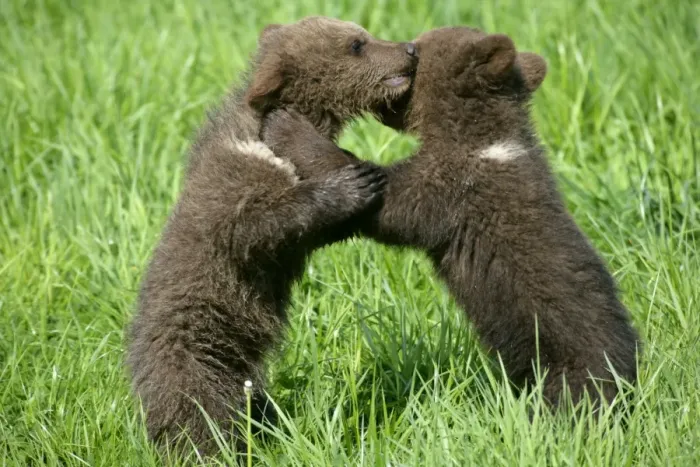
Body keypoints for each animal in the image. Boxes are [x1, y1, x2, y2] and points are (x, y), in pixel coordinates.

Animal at [126, 16, 417, 455]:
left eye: (363, 34)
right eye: (356, 44)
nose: (411, 49)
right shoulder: (236, 184)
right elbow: (257, 225)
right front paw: (351, 184)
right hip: (198, 353)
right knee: (199, 411)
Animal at [262, 26, 641, 410]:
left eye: (419, 48)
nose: (408, 48)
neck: (480, 139)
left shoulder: (453, 189)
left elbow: (389, 203)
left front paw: (288, 125)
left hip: (565, 358)